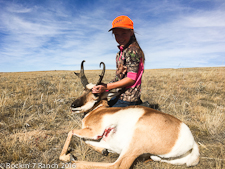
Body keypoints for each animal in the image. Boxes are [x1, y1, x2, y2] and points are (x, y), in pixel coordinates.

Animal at [59, 60, 200, 168]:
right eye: (83, 90)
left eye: (96, 94)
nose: (73, 106)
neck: (99, 110)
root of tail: (191, 142)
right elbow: (84, 140)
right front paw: (103, 150)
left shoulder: (94, 132)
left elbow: (71, 131)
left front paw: (68, 156)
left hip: (134, 145)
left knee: (117, 165)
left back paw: (72, 162)